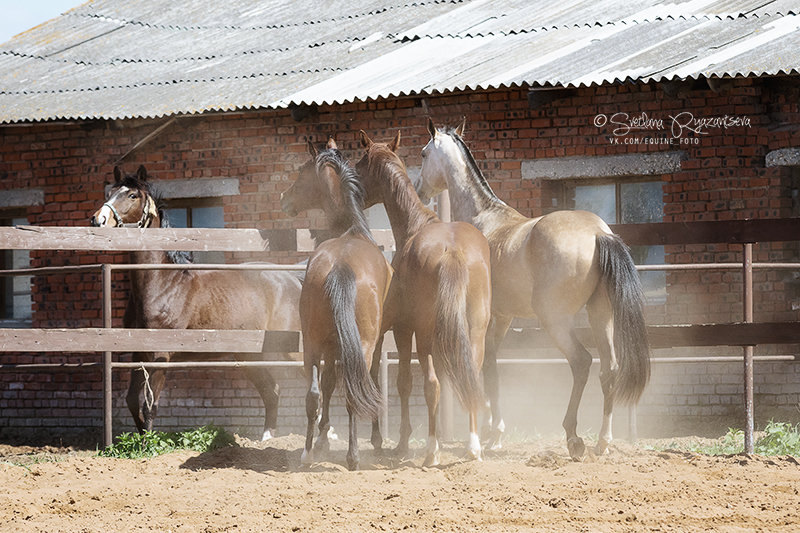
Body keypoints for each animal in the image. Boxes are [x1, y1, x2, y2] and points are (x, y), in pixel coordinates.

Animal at [90, 166, 304, 440]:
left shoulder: (160, 357)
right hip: (251, 355)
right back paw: (267, 439)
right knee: (272, 390)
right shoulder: (139, 353)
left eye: (132, 195)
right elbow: (130, 400)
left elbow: (150, 405)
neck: (162, 283)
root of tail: (292, 278)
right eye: (111, 192)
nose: (99, 219)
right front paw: (140, 439)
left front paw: (149, 444)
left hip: (292, 350)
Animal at [282, 138, 394, 470]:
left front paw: (321, 440)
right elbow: (366, 380)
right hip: (364, 345)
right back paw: (353, 455)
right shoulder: (376, 341)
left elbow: (328, 384)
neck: (351, 229)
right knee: (354, 390)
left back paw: (307, 453)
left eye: (302, 173)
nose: (284, 198)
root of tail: (342, 266)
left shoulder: (332, 344)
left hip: (313, 343)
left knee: (314, 393)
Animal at [416, 118, 648, 460]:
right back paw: (602, 442)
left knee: (582, 363)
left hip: (555, 320)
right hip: (600, 314)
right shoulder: (503, 318)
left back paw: (573, 437)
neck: (484, 218)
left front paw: (490, 432)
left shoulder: (488, 317)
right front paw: (494, 431)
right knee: (609, 369)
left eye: (423, 154)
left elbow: (486, 365)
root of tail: (598, 233)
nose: (420, 188)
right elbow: (491, 363)